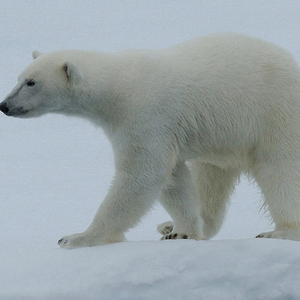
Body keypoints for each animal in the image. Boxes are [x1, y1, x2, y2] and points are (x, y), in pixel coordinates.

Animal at [1, 33, 300, 248]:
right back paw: (172, 225)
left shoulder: (145, 116)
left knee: (280, 171)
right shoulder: (164, 130)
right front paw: (183, 232)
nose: (5, 105)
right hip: (225, 138)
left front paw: (77, 237)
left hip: (273, 116)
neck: (118, 86)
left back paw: (281, 232)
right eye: (19, 78)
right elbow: (174, 179)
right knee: (211, 176)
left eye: (31, 82)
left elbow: (143, 175)